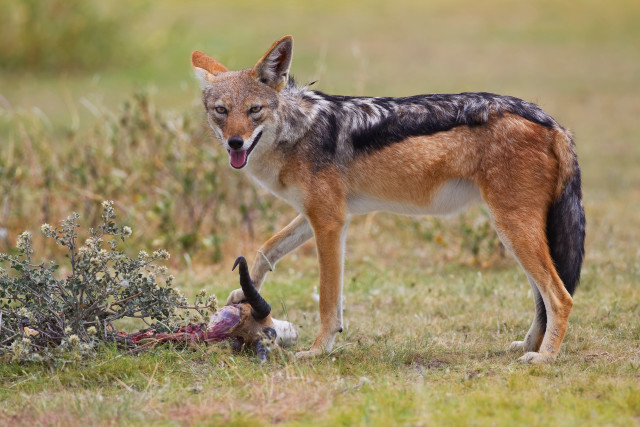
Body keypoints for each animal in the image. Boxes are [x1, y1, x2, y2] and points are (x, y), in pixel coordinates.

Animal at [191, 35, 585, 363]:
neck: (297, 131)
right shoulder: (321, 215)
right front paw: (239, 296)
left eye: (254, 110)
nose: (235, 143)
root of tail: (554, 123)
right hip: (515, 233)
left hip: (513, 229)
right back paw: (528, 345)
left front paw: (317, 350)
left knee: (560, 296)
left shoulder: (330, 222)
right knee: (544, 296)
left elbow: (328, 299)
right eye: (221, 111)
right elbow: (265, 250)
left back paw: (544, 357)